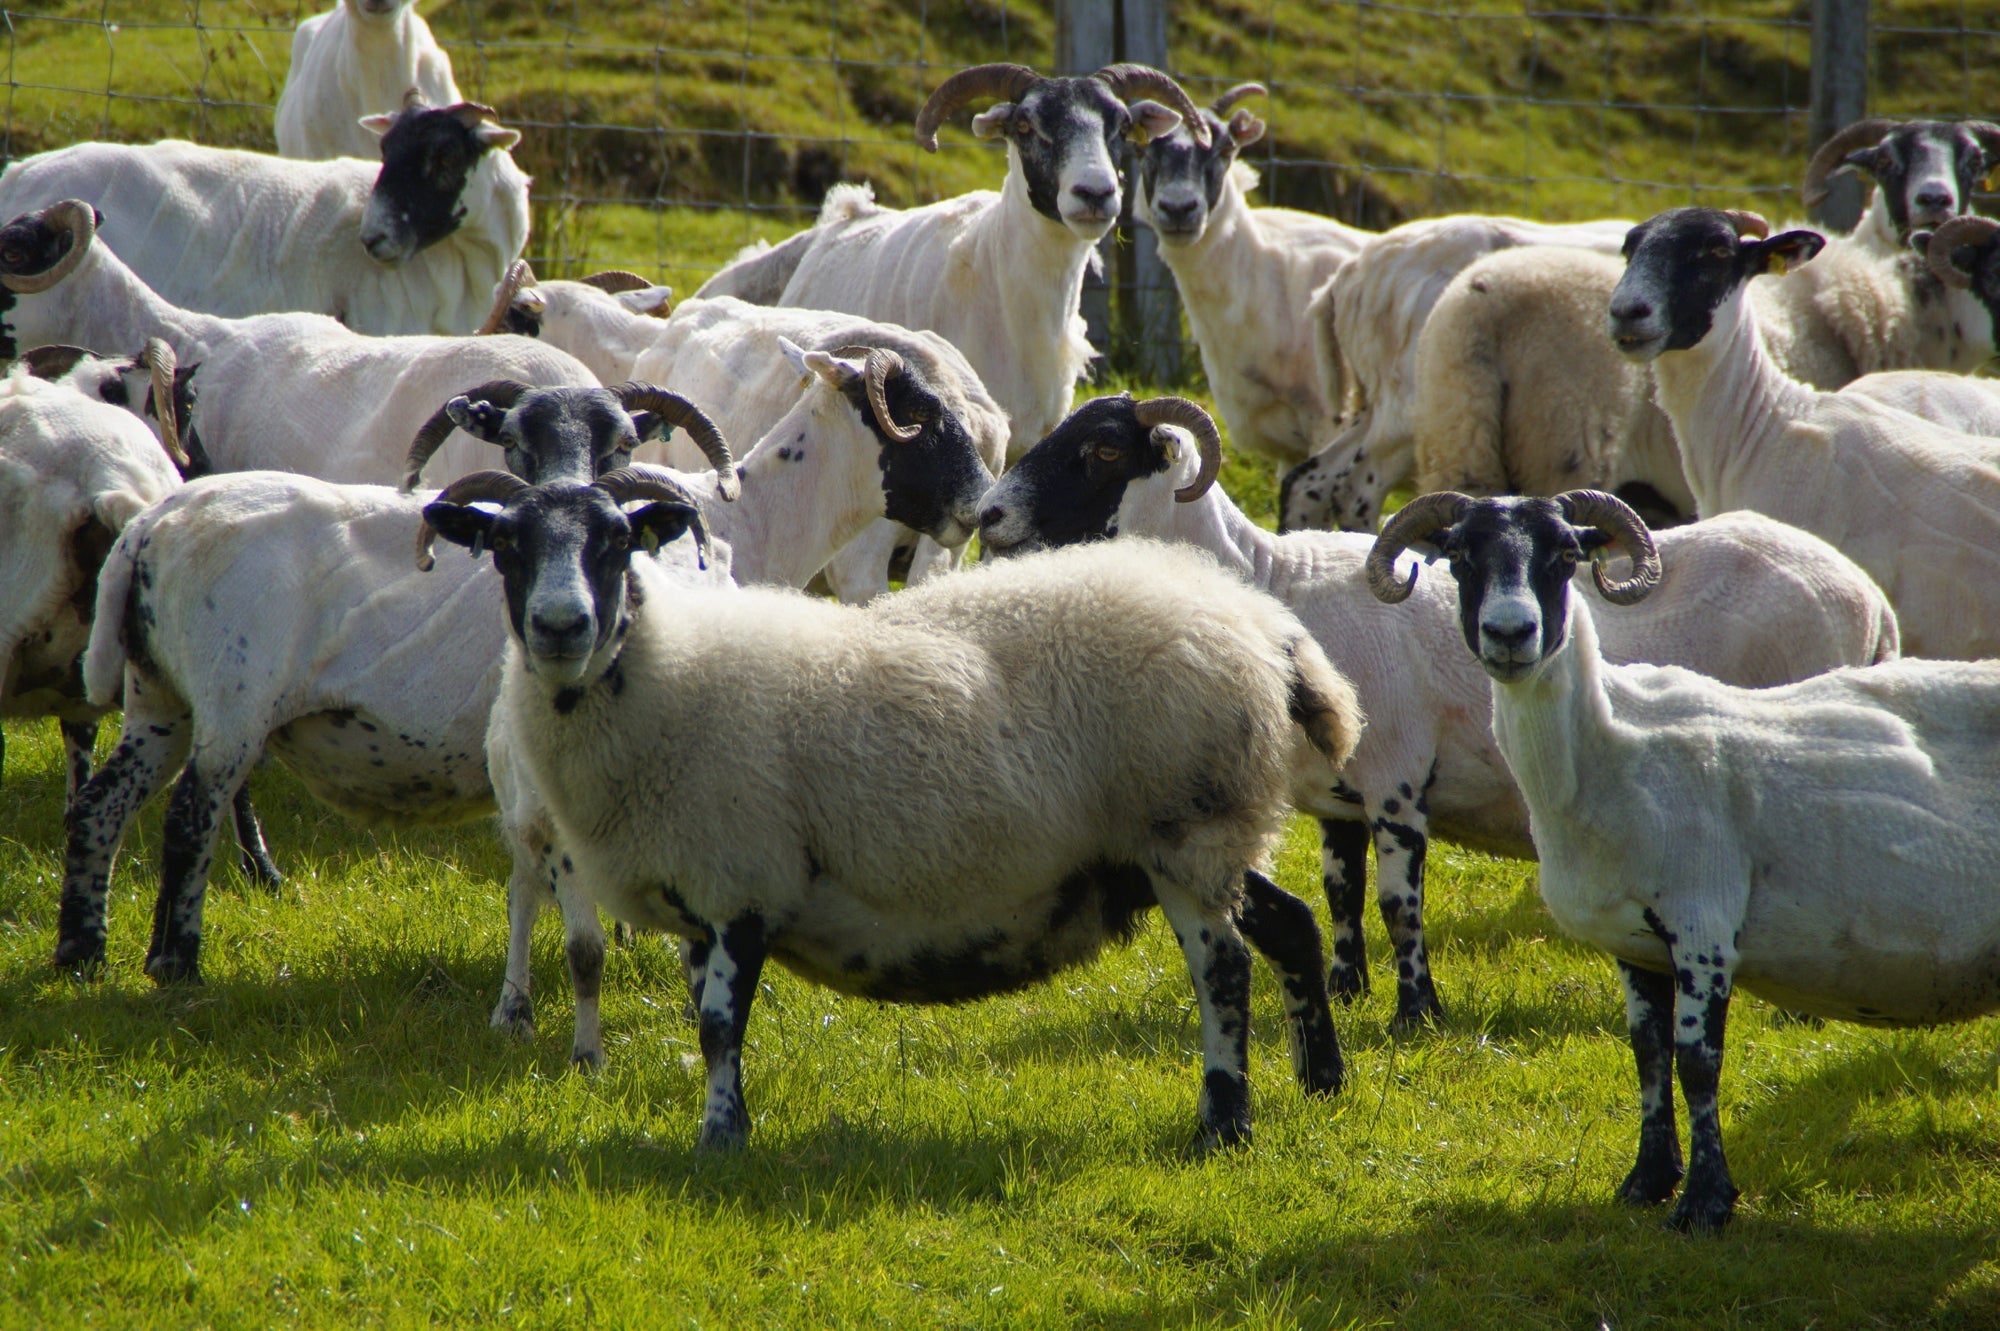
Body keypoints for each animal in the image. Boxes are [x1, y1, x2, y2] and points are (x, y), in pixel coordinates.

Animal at [422, 462, 1361, 1150]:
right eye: (504, 543)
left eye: (617, 542)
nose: (561, 626)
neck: (658, 672)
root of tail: (1263, 626)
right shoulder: (703, 892)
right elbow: (706, 1021)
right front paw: (729, 1123)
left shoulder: (740, 876)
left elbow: (721, 1024)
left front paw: (721, 1140)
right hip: (1209, 833)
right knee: (1291, 924)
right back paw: (1322, 1081)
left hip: (1182, 824)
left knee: (1224, 969)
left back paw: (1223, 1123)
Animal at [977, 394, 1898, 1030]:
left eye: (1101, 447)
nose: (986, 513)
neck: (1274, 582)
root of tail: (1871, 599)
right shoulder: (1337, 794)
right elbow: (1342, 894)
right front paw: (1345, 990)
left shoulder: (1396, 779)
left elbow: (1397, 904)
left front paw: (1415, 1013)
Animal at [1366, 487, 2000, 1232]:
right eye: (1461, 553)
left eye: (1565, 554)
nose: (1511, 633)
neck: (1612, 750)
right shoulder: (1634, 941)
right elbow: (1647, 1052)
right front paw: (1646, 1180)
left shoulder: (1703, 923)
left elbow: (1698, 1062)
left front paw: (1704, 1202)